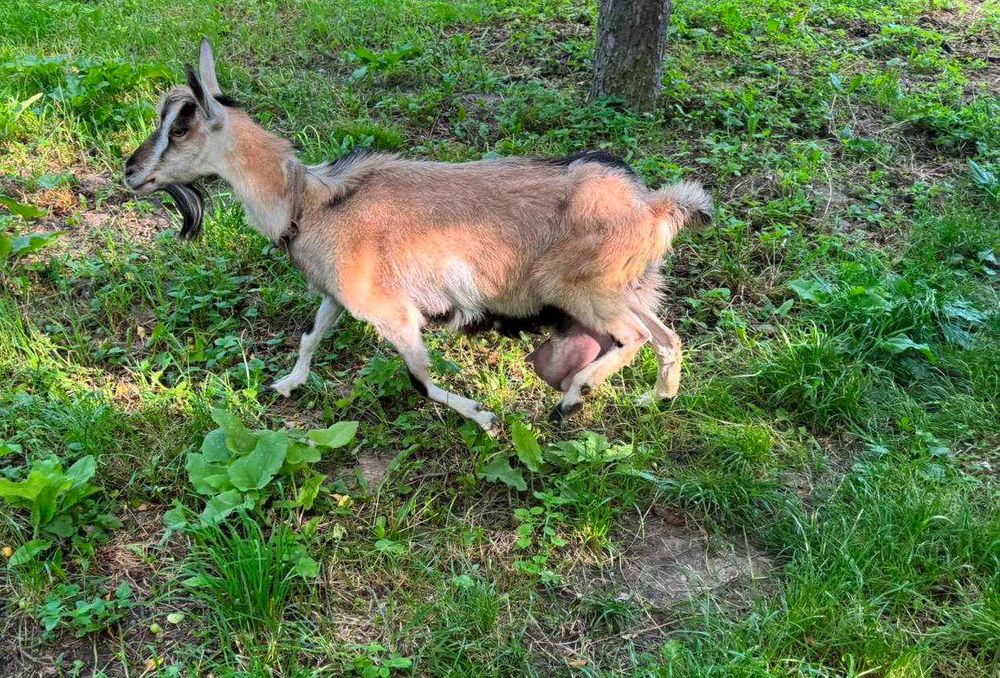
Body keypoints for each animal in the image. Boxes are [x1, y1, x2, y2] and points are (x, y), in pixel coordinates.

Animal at [124, 40, 711, 435]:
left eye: (181, 126)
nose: (130, 171)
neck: (310, 203)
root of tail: (655, 206)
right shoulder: (338, 296)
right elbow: (310, 336)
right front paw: (286, 383)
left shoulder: (393, 312)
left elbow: (420, 380)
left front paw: (485, 417)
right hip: (621, 288)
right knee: (667, 336)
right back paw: (656, 400)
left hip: (581, 288)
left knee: (636, 337)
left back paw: (573, 395)